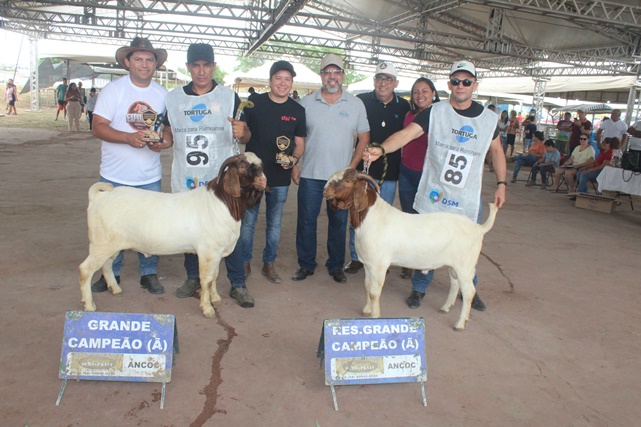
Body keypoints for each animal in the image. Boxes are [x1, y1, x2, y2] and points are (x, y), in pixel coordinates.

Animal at [79, 153, 264, 318]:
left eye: (260, 165)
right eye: (243, 166)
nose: (262, 181)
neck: (223, 203)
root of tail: (99, 197)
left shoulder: (217, 253)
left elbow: (215, 277)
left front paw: (216, 298)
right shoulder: (208, 252)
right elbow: (206, 280)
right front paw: (207, 309)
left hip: (112, 245)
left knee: (107, 265)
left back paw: (115, 289)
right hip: (101, 244)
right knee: (86, 269)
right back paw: (89, 305)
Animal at [322, 167, 498, 332]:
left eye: (347, 181)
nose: (325, 190)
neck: (373, 218)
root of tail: (478, 228)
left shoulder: (379, 266)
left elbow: (374, 292)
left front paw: (375, 316)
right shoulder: (367, 263)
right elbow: (367, 287)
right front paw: (366, 310)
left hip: (466, 267)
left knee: (469, 292)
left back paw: (460, 324)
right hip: (454, 265)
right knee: (455, 284)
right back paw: (445, 308)